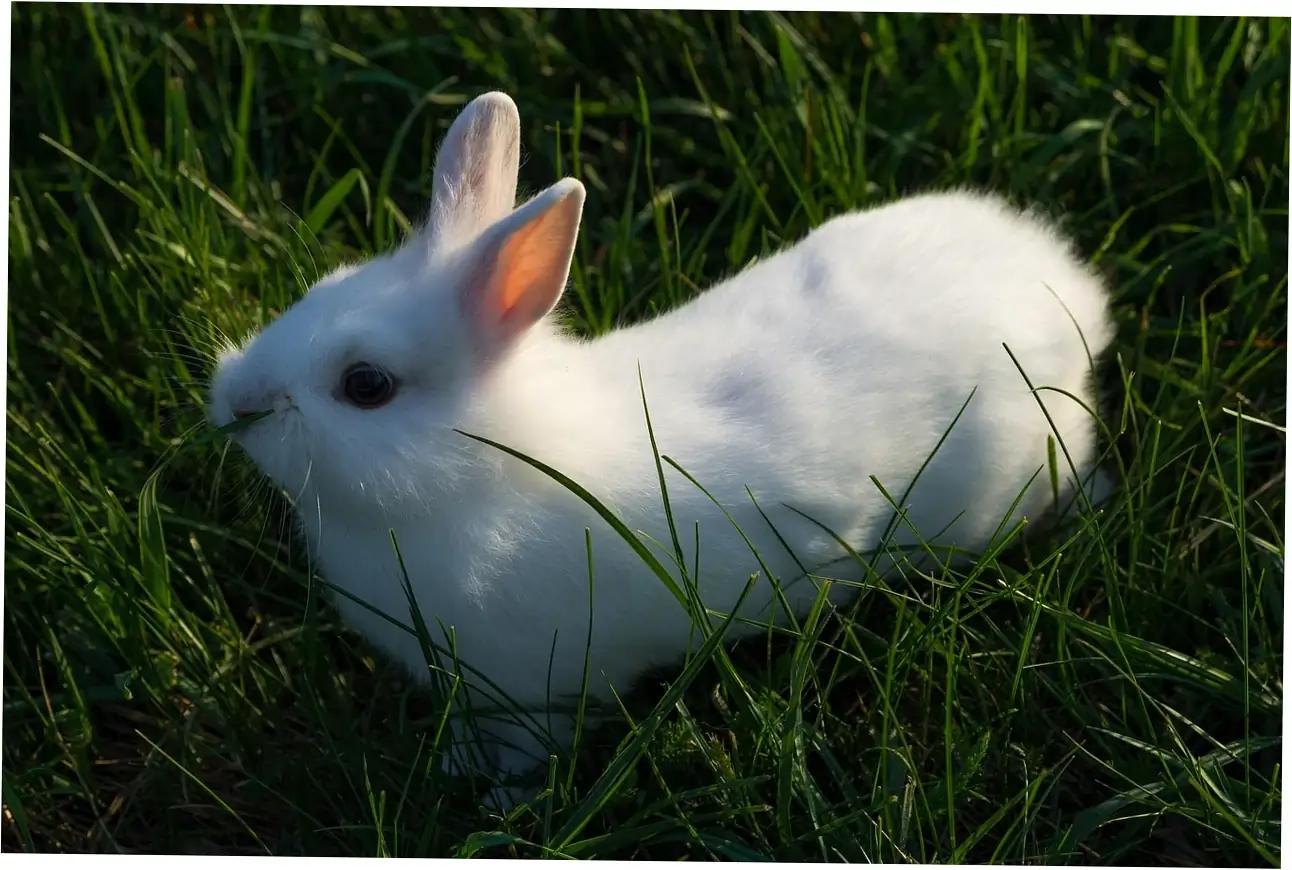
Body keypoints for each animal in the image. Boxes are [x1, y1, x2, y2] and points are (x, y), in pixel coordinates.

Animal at [208, 91, 1115, 809]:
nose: (233, 400)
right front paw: (454, 772)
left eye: (366, 385)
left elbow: (530, 752)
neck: (483, 471)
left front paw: (499, 804)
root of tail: (1071, 293)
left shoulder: (539, 691)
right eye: (321, 287)